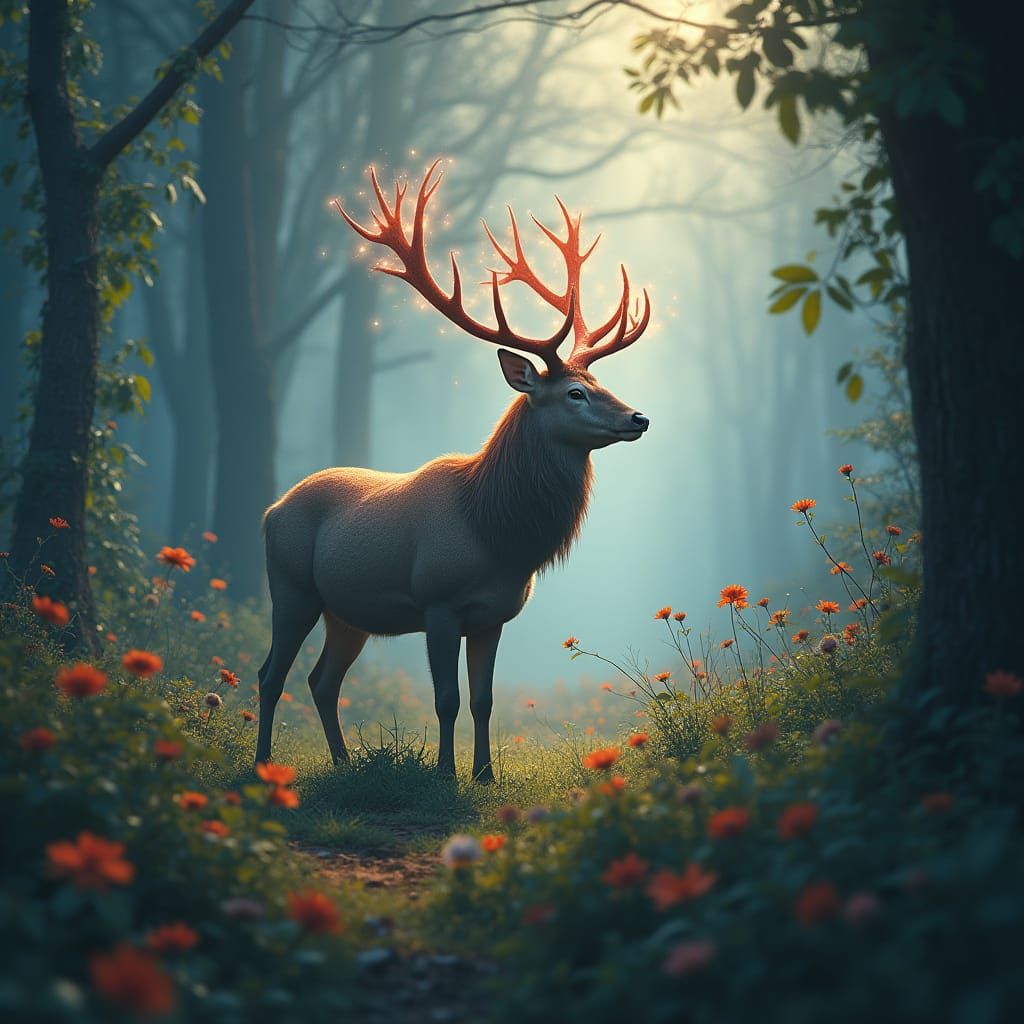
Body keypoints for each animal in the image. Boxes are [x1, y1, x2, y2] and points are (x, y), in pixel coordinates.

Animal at [255, 160, 652, 781]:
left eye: (600, 383)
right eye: (575, 393)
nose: (639, 417)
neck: (497, 534)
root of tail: (271, 509)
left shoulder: (493, 615)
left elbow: (484, 699)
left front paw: (484, 774)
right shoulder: (437, 602)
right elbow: (447, 699)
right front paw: (445, 773)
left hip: (348, 613)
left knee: (323, 681)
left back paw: (343, 764)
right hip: (291, 586)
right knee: (271, 674)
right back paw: (262, 764)